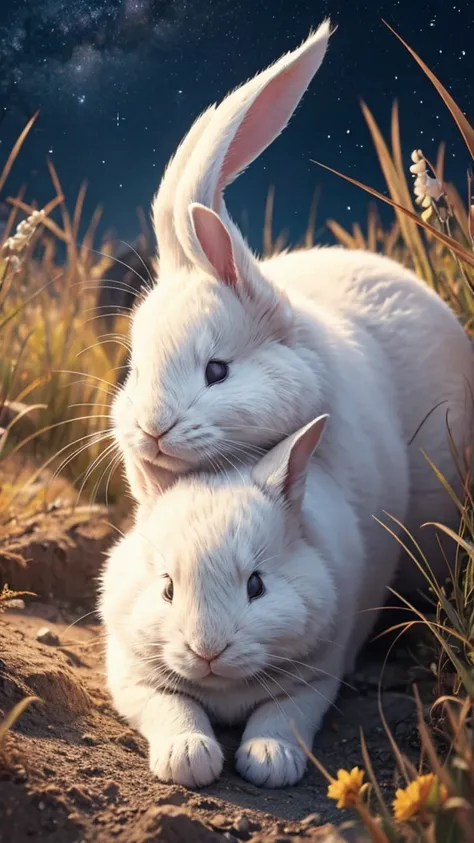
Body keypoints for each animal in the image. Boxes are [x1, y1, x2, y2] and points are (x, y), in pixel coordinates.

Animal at [102, 396, 410, 792]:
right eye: (167, 587)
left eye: (256, 585)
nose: (208, 651)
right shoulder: (132, 679)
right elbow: (172, 706)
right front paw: (188, 756)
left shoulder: (314, 682)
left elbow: (282, 714)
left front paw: (270, 759)